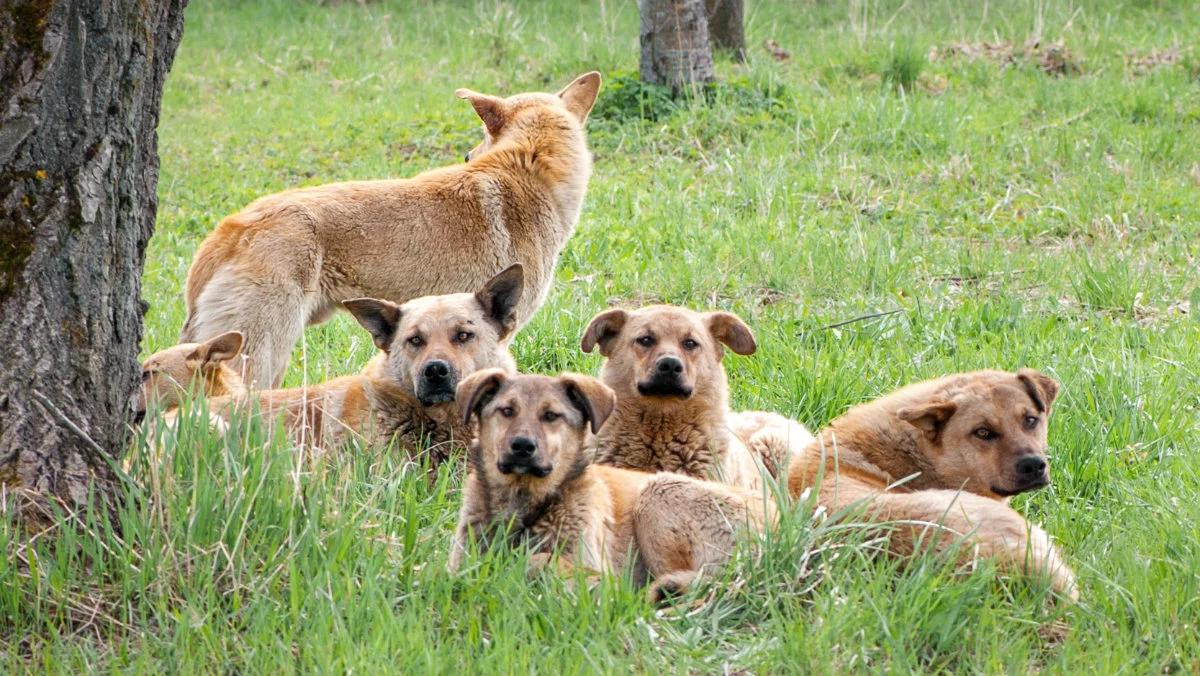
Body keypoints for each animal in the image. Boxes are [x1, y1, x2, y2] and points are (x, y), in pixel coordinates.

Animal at [446, 369, 772, 602]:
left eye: (551, 416)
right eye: (506, 411)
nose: (522, 446)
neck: (528, 503)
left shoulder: (594, 571)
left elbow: (538, 558)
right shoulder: (459, 563)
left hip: (659, 493)